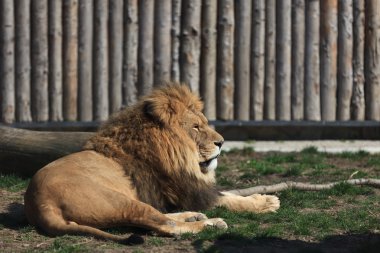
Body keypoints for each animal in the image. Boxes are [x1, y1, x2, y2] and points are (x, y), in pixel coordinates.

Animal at [23, 84, 280, 243]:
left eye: (204, 123)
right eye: (196, 127)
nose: (222, 142)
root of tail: (41, 204)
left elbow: (228, 193)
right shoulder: (184, 188)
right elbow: (227, 199)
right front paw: (265, 202)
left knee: (163, 218)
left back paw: (194, 216)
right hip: (119, 201)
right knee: (165, 226)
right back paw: (210, 224)